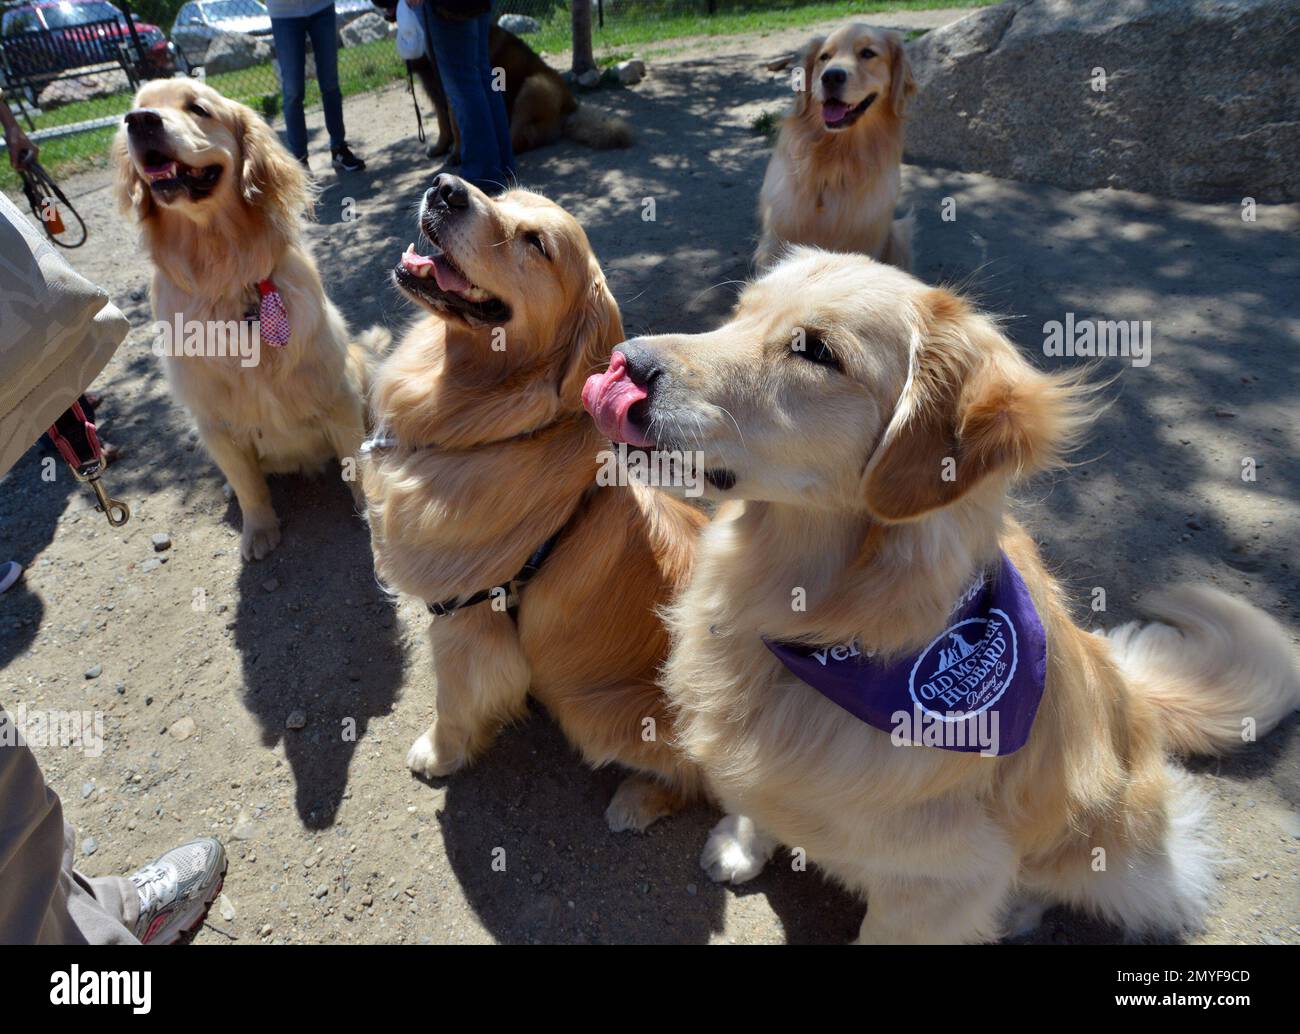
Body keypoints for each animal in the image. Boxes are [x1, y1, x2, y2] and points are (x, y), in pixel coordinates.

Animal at [113, 79, 379, 567]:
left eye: (198, 108)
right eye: (136, 109)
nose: (138, 122)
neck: (226, 274)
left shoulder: (337, 395)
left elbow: (354, 465)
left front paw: (369, 510)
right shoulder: (214, 423)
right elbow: (248, 484)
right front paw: (259, 529)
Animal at [361, 174, 707, 827]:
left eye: (535, 243)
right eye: (501, 196)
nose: (445, 187)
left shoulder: (464, 620)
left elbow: (452, 705)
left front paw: (438, 754)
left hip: (590, 710)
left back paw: (637, 801)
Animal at [592, 247, 1300, 941]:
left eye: (816, 351)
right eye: (738, 315)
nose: (626, 361)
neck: (826, 626)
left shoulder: (935, 885)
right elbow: (755, 799)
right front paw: (741, 841)